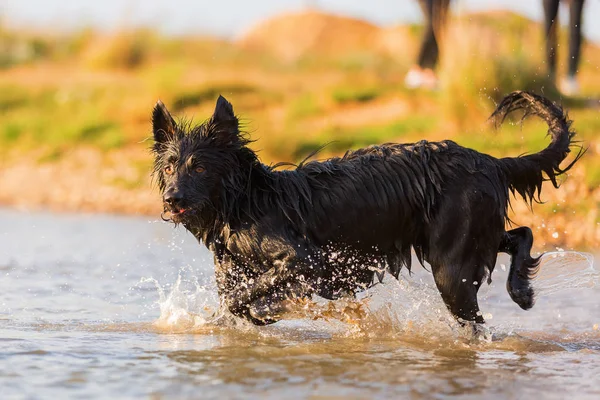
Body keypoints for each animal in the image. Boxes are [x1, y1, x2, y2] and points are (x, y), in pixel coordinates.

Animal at [151, 93, 580, 332]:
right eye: (170, 167)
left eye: (200, 168)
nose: (171, 199)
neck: (245, 203)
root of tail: (491, 161)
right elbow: (233, 302)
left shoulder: (306, 258)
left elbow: (250, 295)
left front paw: (265, 310)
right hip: (470, 235)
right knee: (521, 234)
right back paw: (521, 290)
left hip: (451, 265)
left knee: (475, 315)